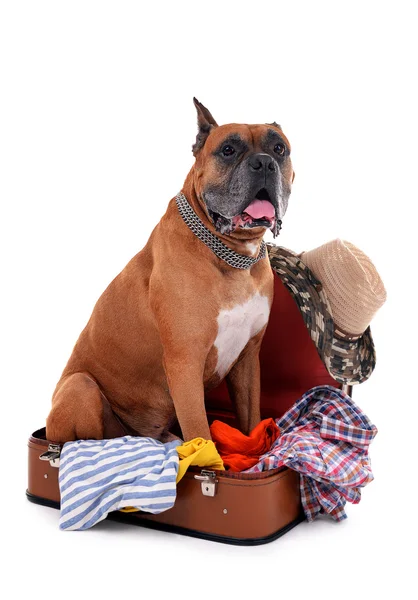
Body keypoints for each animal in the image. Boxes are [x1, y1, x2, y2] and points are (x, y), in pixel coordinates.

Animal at [45, 98, 294, 442]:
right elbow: (200, 430)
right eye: (228, 150)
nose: (264, 163)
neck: (231, 254)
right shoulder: (184, 363)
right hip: (80, 388)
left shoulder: (247, 361)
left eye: (279, 148)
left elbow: (251, 419)